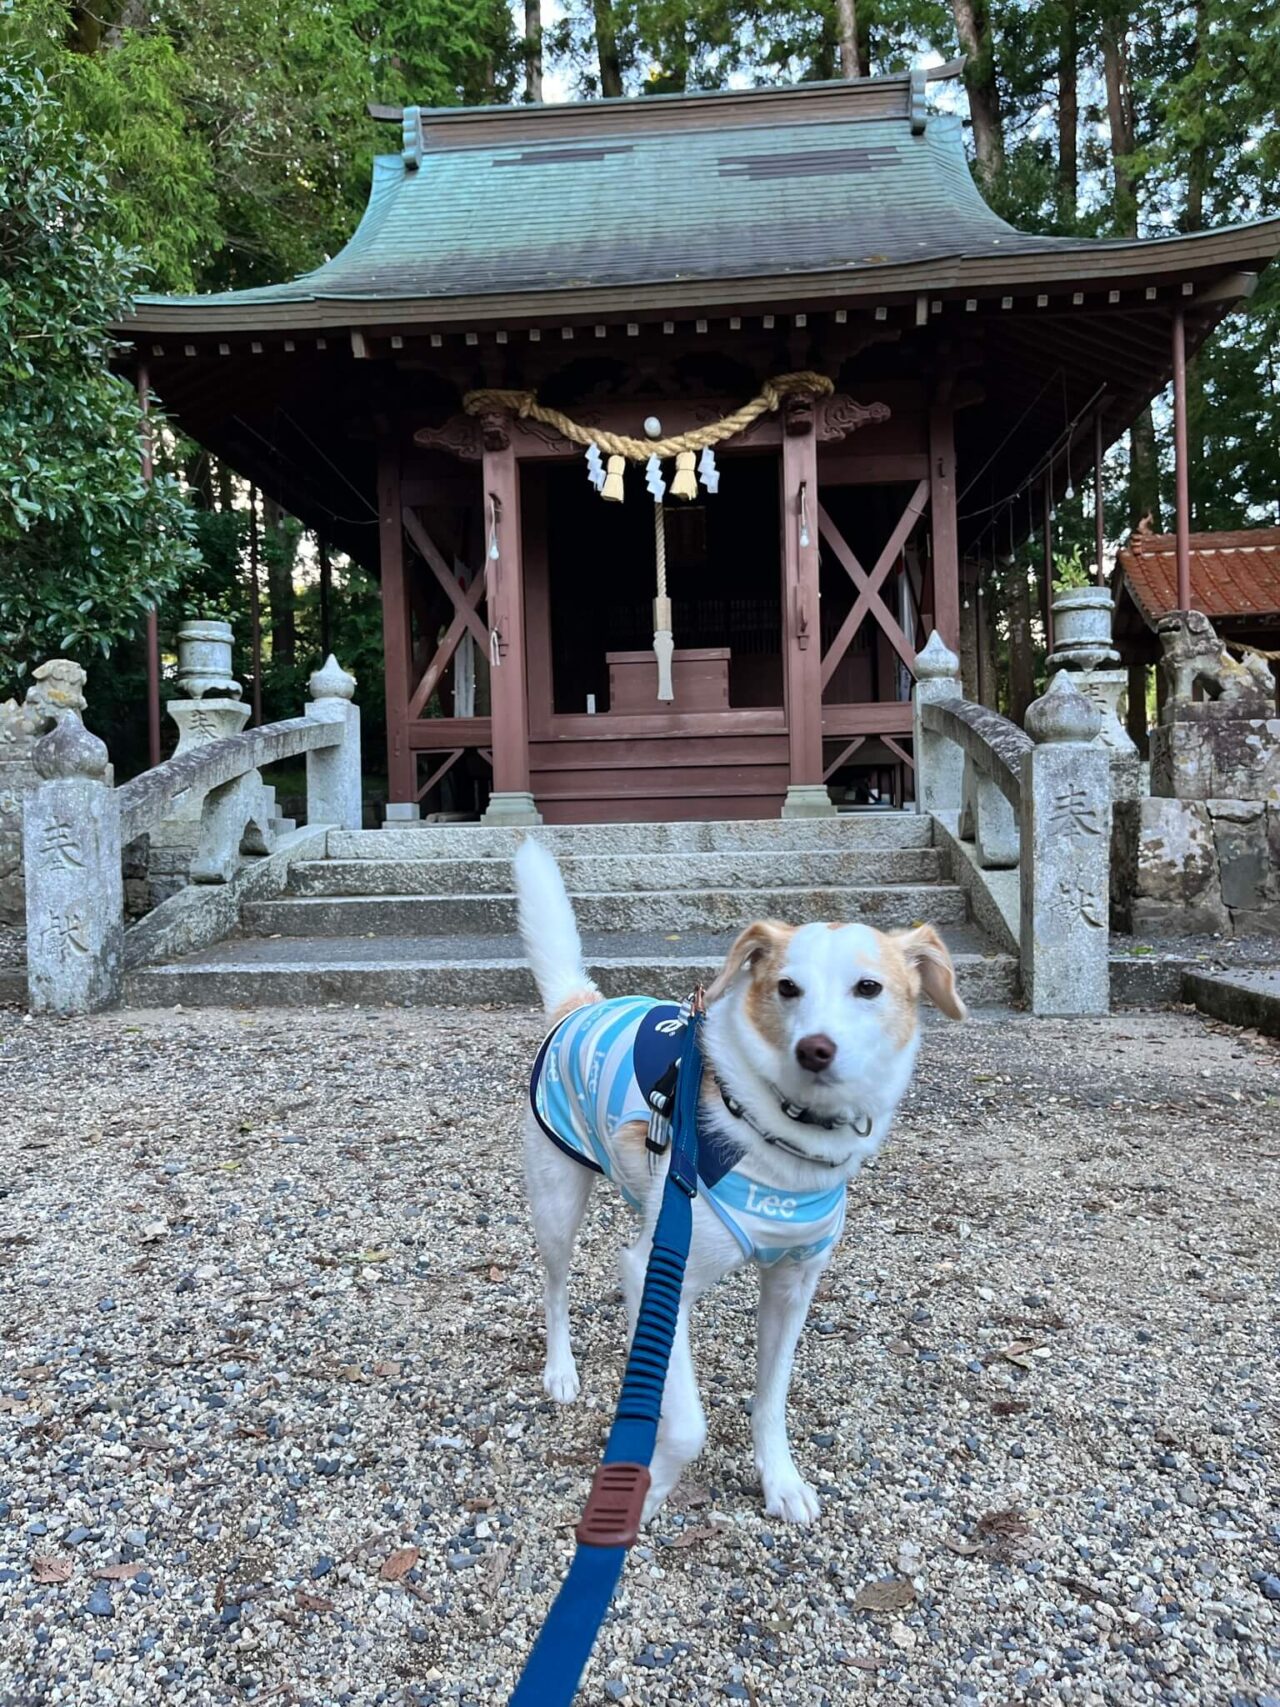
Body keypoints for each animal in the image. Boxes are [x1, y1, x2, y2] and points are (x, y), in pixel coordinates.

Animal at [512, 839, 962, 1522]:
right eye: (786, 987)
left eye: (868, 988)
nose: (815, 1049)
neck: (783, 1131)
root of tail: (582, 1002)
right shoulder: (665, 1271)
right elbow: (689, 1426)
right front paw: (648, 1489)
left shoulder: (791, 1285)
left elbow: (771, 1398)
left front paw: (780, 1479)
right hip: (557, 1199)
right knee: (556, 1287)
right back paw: (561, 1371)